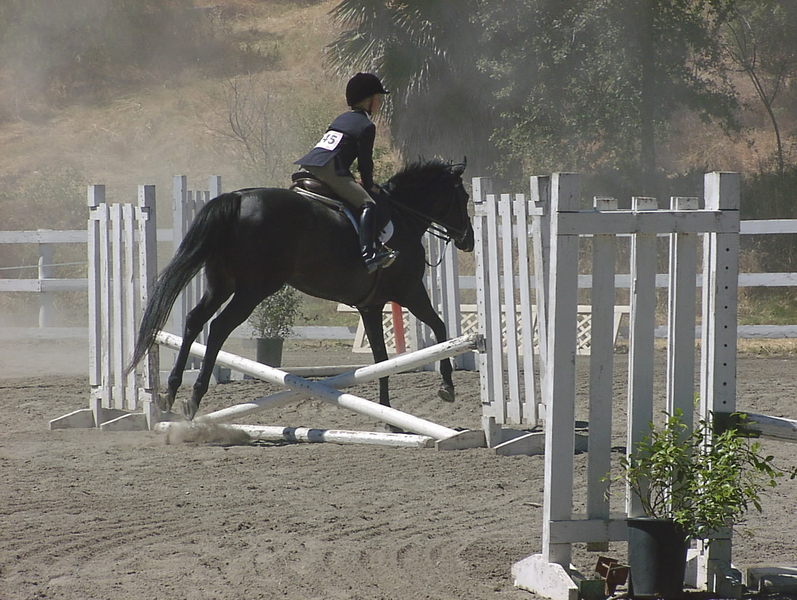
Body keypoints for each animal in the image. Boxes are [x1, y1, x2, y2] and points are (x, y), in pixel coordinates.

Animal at [128, 158, 475, 422]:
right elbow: (441, 329)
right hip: (253, 289)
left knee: (194, 320)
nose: (468, 240)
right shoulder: (410, 291)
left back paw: (171, 393)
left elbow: (382, 360)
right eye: (464, 199)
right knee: (218, 327)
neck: (404, 217)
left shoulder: (371, 306)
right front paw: (447, 388)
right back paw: (195, 396)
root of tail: (237, 198)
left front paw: (389, 417)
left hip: (221, 283)